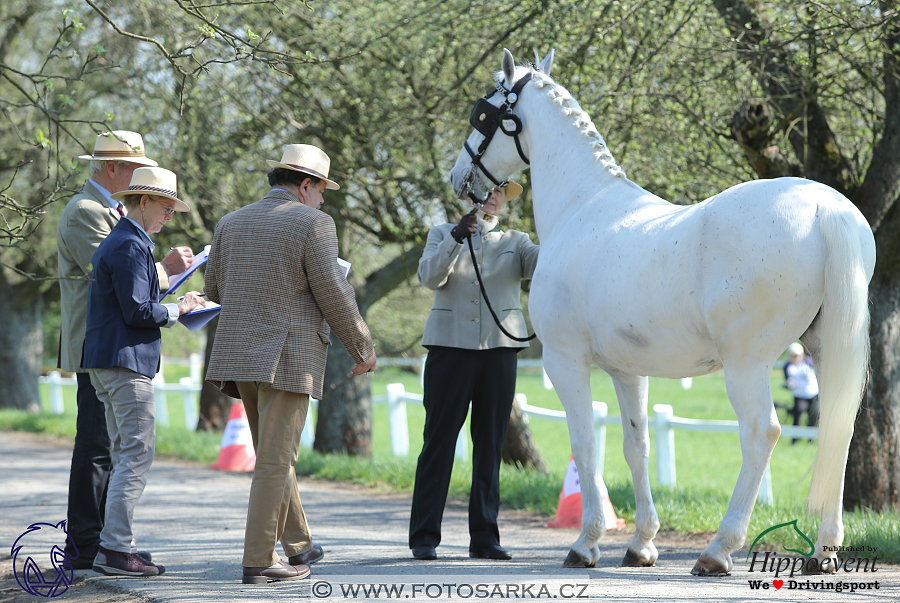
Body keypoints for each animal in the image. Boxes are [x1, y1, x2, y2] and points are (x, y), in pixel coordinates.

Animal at [448, 48, 872, 576]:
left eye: (482, 113)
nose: (458, 178)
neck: (582, 208)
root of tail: (823, 206)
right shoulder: (629, 370)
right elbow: (637, 446)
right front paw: (641, 544)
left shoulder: (565, 360)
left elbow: (585, 444)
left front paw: (586, 543)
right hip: (825, 349)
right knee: (838, 429)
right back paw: (823, 552)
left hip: (747, 363)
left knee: (762, 433)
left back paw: (718, 550)